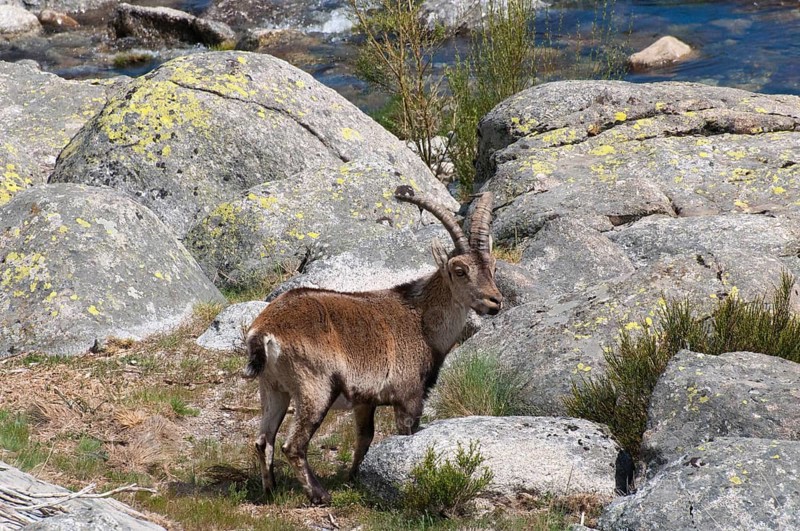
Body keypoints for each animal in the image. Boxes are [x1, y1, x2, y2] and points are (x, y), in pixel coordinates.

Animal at [243, 186, 503, 505]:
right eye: (460, 269)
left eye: (493, 266)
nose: (495, 301)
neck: (422, 321)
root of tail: (264, 330)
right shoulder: (408, 396)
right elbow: (405, 435)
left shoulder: (365, 400)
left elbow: (364, 438)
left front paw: (354, 478)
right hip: (314, 387)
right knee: (292, 445)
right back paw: (319, 494)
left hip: (273, 388)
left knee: (263, 440)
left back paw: (271, 491)